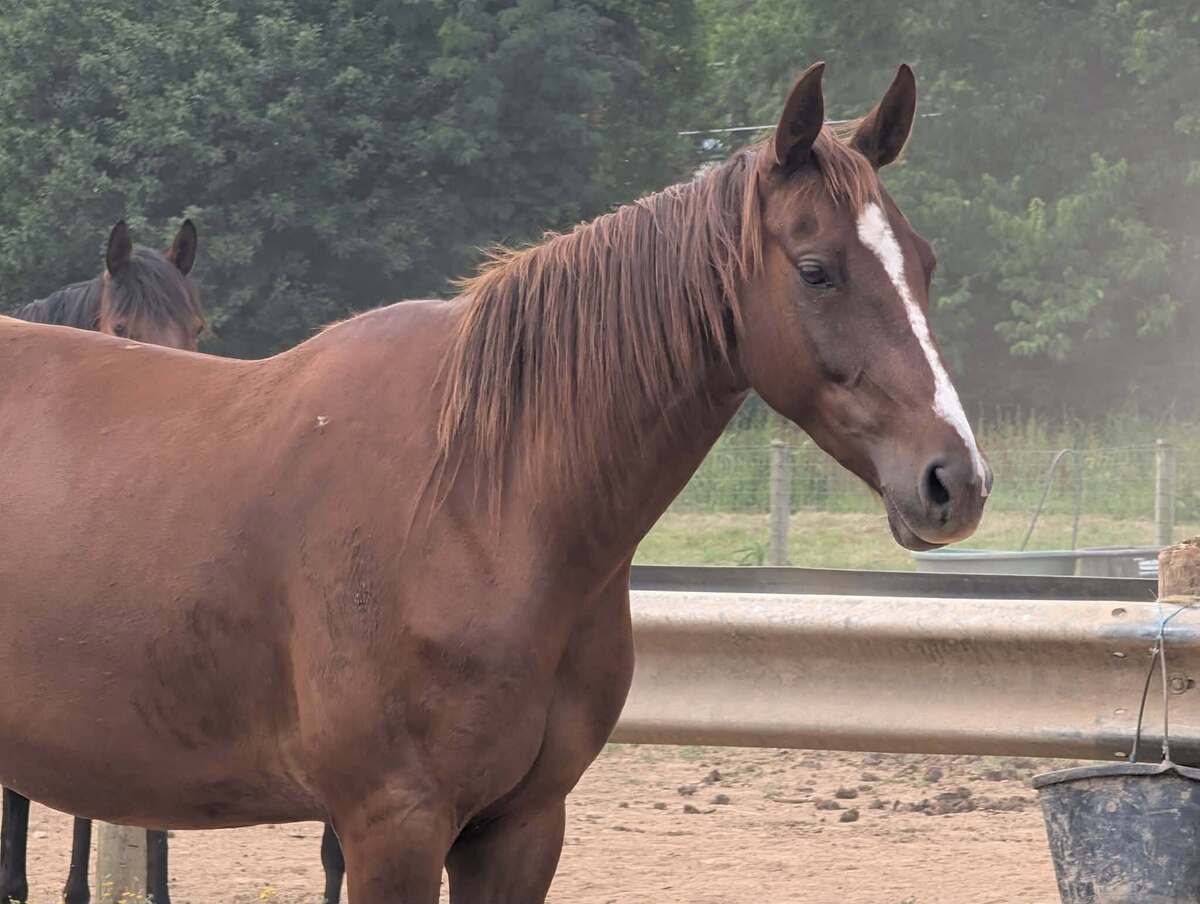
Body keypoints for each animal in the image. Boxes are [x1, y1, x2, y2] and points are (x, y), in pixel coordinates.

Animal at [0, 63, 989, 902]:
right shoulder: (391, 828)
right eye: (817, 270)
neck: (482, 504)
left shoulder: (520, 828)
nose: (955, 480)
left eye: (925, 263)